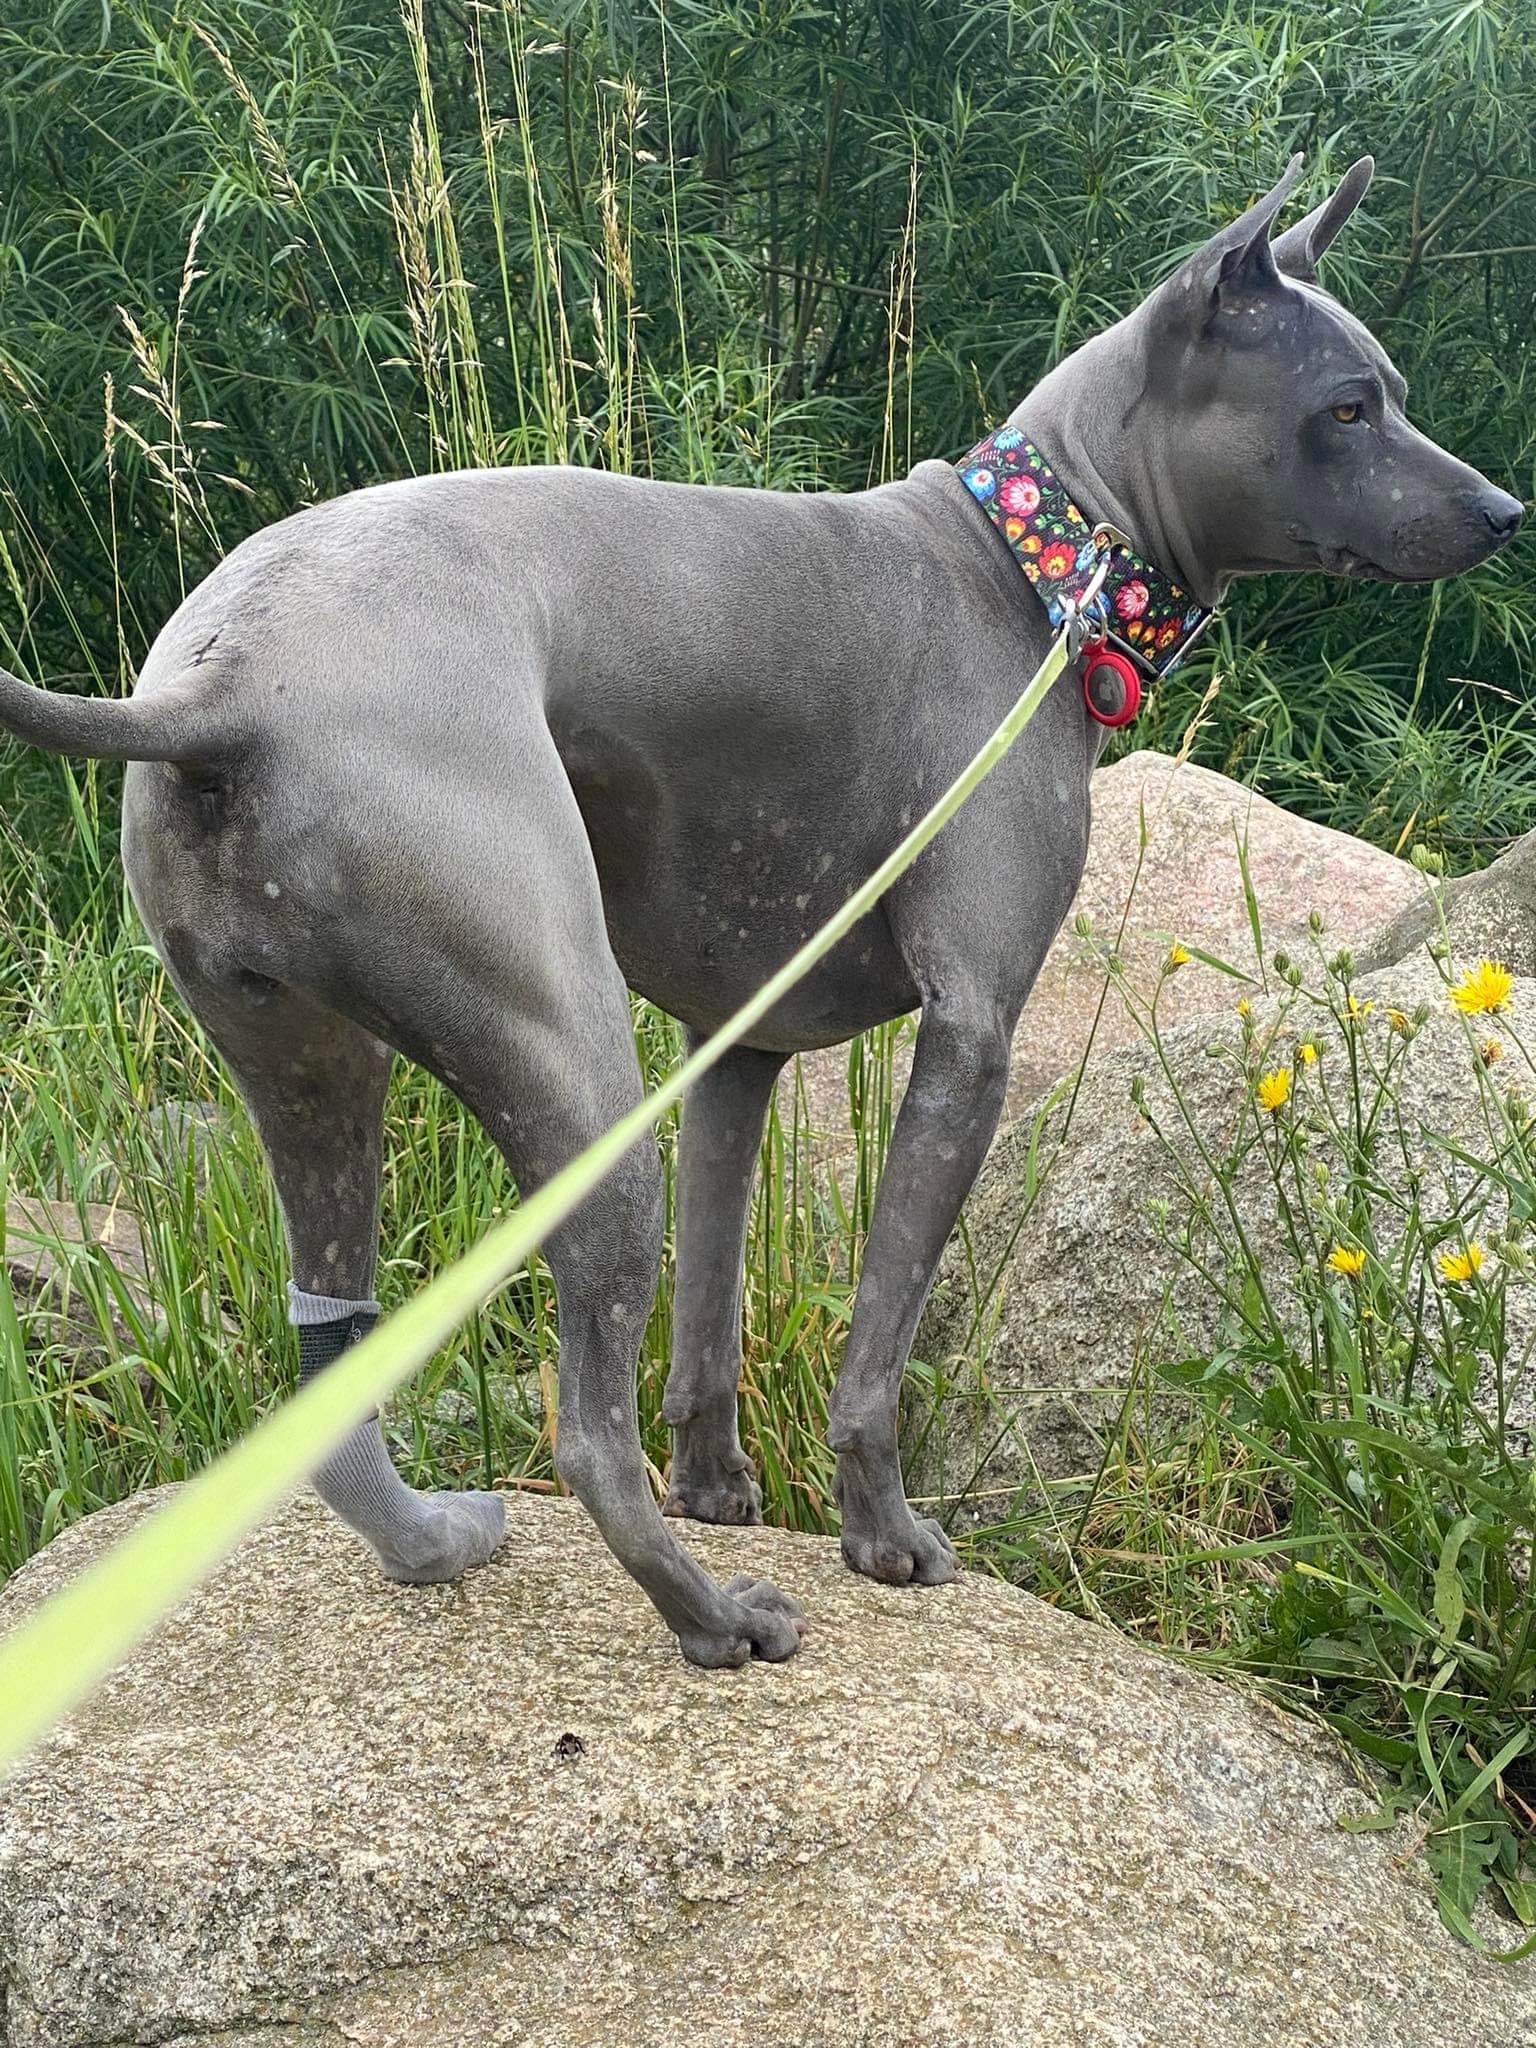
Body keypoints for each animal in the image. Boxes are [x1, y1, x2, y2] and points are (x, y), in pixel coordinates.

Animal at [0, 156, 1521, 1666]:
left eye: (1389, 388)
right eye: (1348, 405)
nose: (1507, 514)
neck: (1030, 567)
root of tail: (223, 687)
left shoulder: (736, 1053)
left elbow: (713, 1314)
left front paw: (724, 1485)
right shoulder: (972, 1036)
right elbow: (877, 1346)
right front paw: (882, 1539)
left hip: (311, 1063)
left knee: (335, 1358)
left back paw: (437, 1541)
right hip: (571, 1068)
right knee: (585, 1434)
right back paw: (716, 1617)